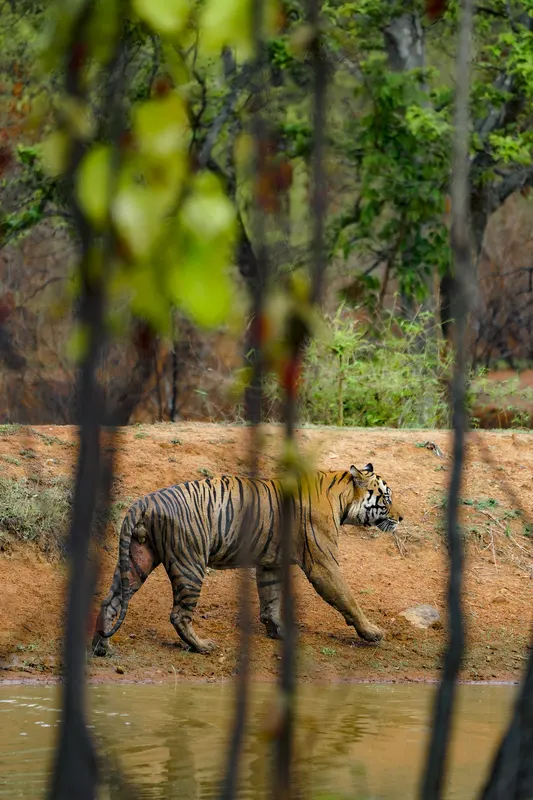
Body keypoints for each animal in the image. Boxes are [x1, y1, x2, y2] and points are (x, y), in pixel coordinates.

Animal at [92, 463, 402, 655]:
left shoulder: (270, 563)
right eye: (386, 498)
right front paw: (372, 633)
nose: (401, 518)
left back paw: (102, 648)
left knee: (110, 601)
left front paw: (279, 632)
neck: (342, 498)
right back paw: (203, 646)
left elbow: (271, 600)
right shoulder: (322, 564)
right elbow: (347, 598)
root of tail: (143, 502)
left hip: (137, 560)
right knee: (178, 614)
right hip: (189, 563)